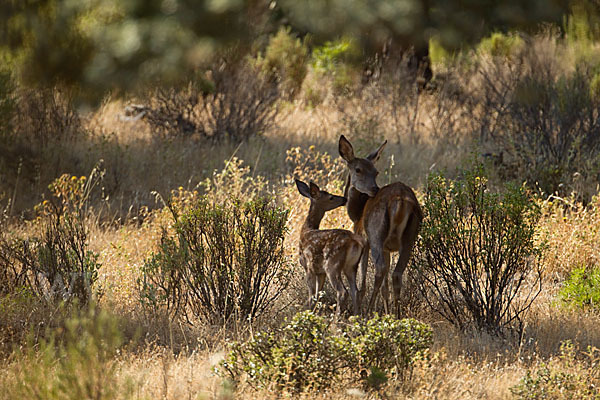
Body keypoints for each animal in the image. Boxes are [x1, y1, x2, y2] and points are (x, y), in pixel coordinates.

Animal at [296, 179, 366, 316]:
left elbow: (311, 295)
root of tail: (354, 241)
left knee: (343, 292)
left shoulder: (308, 266)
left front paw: (308, 313)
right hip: (351, 266)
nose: (344, 199)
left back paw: (337, 318)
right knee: (355, 292)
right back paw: (356, 317)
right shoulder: (320, 272)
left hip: (332, 264)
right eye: (331, 197)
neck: (306, 231)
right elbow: (318, 295)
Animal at [338, 136, 422, 318]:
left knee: (379, 270)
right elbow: (385, 289)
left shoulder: (364, 240)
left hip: (376, 233)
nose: (374, 188)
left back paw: (368, 313)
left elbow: (362, 283)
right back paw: (398, 317)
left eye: (375, 172)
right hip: (409, 237)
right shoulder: (387, 248)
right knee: (396, 273)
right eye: (358, 170)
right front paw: (387, 313)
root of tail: (400, 201)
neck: (357, 213)